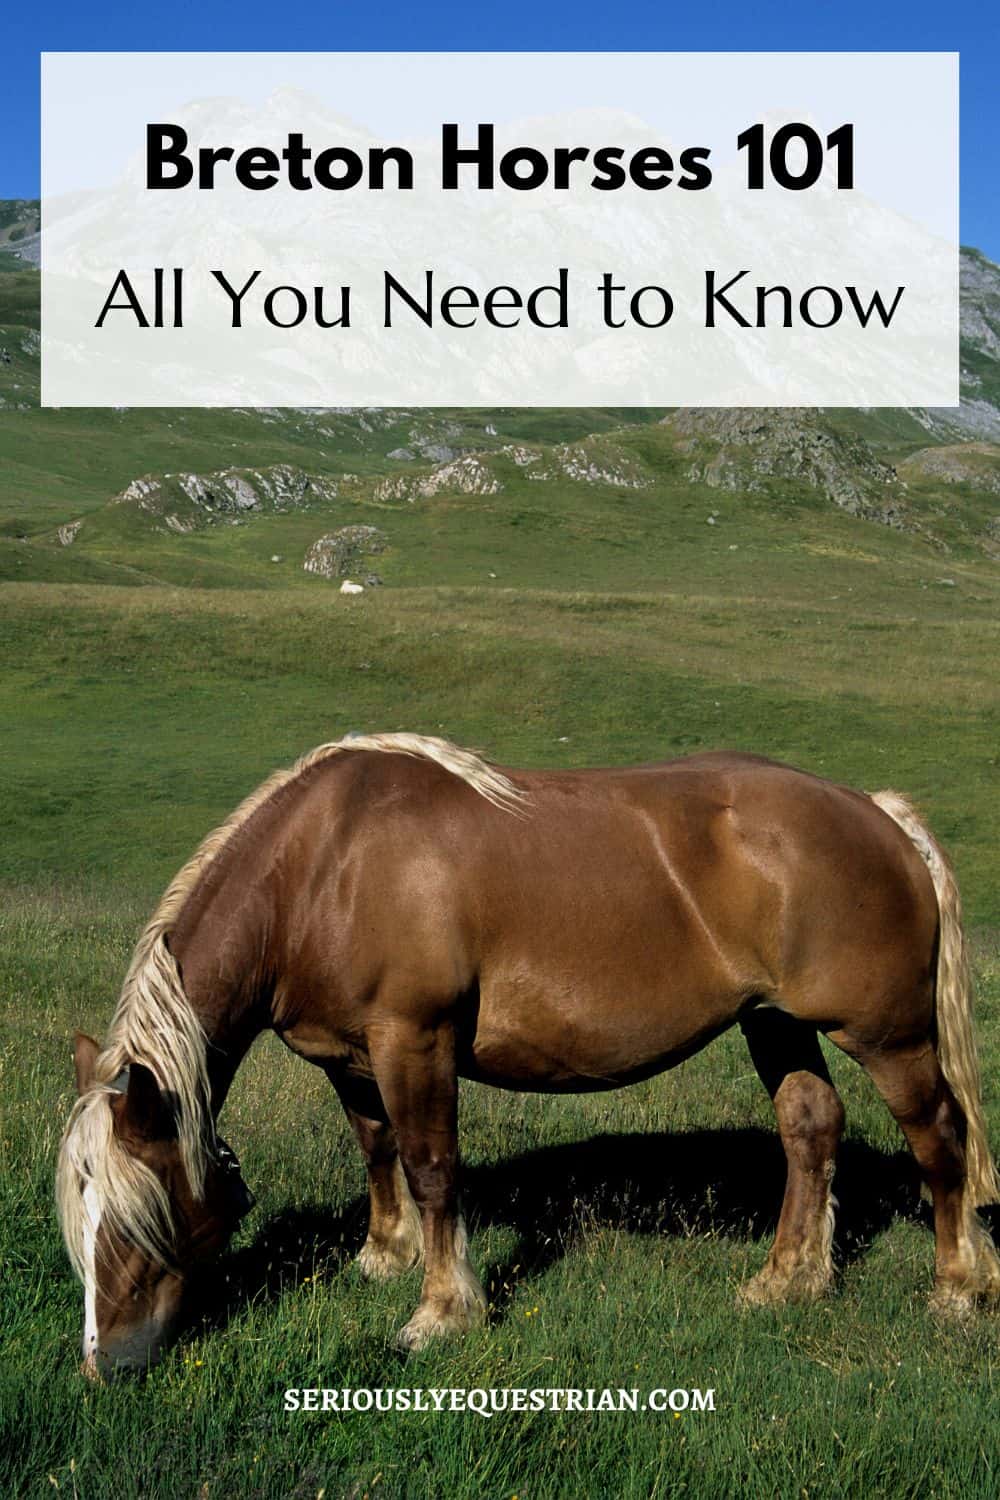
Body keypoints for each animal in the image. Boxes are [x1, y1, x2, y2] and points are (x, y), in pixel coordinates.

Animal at [56, 733, 1000, 1379]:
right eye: (83, 1210)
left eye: (144, 1212)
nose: (108, 1363)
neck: (323, 871)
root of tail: (879, 814)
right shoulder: (349, 1059)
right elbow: (379, 1152)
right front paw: (383, 1257)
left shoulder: (415, 1040)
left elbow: (433, 1169)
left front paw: (442, 1311)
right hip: (774, 1022)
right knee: (811, 1128)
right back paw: (787, 1281)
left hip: (887, 1038)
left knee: (939, 1141)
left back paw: (957, 1288)